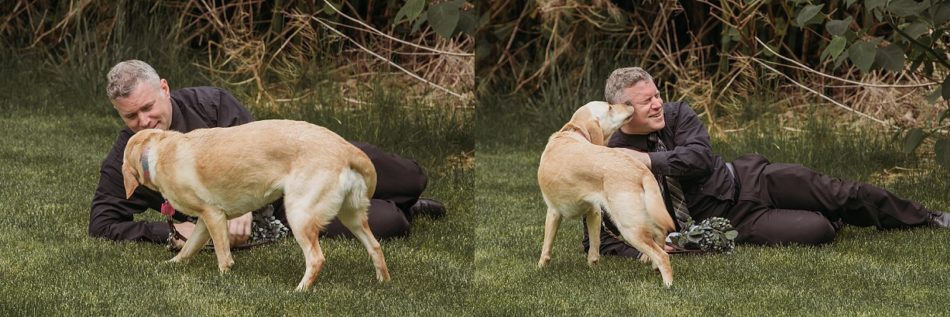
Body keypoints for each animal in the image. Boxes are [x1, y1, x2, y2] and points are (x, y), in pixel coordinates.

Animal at [122, 118, 390, 288]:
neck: (154, 152)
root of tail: (346, 148)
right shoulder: (205, 222)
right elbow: (188, 249)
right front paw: (171, 265)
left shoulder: (213, 215)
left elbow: (223, 257)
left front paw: (224, 278)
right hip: (352, 217)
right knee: (375, 246)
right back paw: (383, 282)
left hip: (299, 215)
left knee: (316, 259)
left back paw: (299, 290)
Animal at [536, 101, 676, 286]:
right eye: (610, 107)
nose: (628, 103)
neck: (574, 131)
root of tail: (641, 170)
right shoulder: (594, 212)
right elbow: (594, 247)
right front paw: (592, 266)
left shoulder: (553, 211)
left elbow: (546, 245)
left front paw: (540, 267)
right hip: (644, 217)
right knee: (660, 236)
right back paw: (653, 267)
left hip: (629, 227)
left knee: (662, 255)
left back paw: (668, 284)